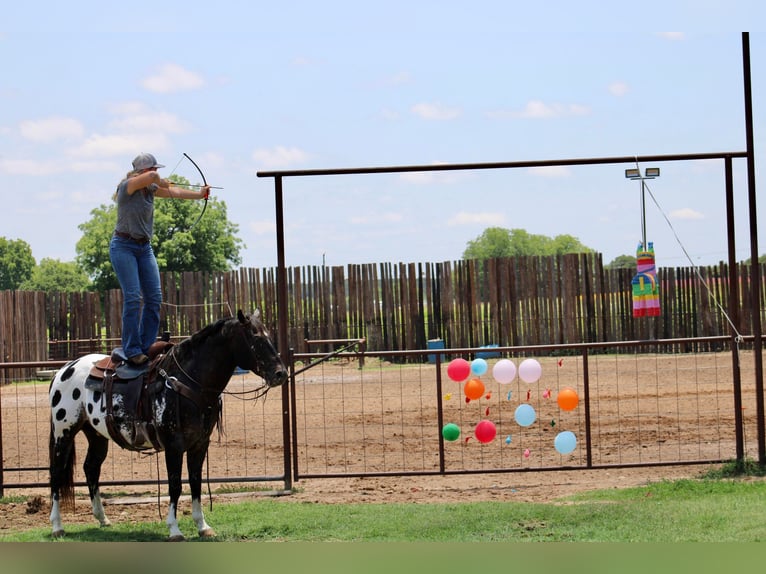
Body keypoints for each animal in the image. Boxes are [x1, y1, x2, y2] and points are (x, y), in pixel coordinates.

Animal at [48, 310, 288, 540]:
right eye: (255, 339)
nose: (281, 374)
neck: (186, 381)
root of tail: (64, 369)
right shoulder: (174, 446)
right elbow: (175, 485)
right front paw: (174, 529)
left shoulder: (199, 444)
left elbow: (196, 482)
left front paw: (203, 526)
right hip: (64, 433)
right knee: (56, 473)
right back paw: (57, 526)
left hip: (96, 435)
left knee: (91, 467)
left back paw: (103, 519)